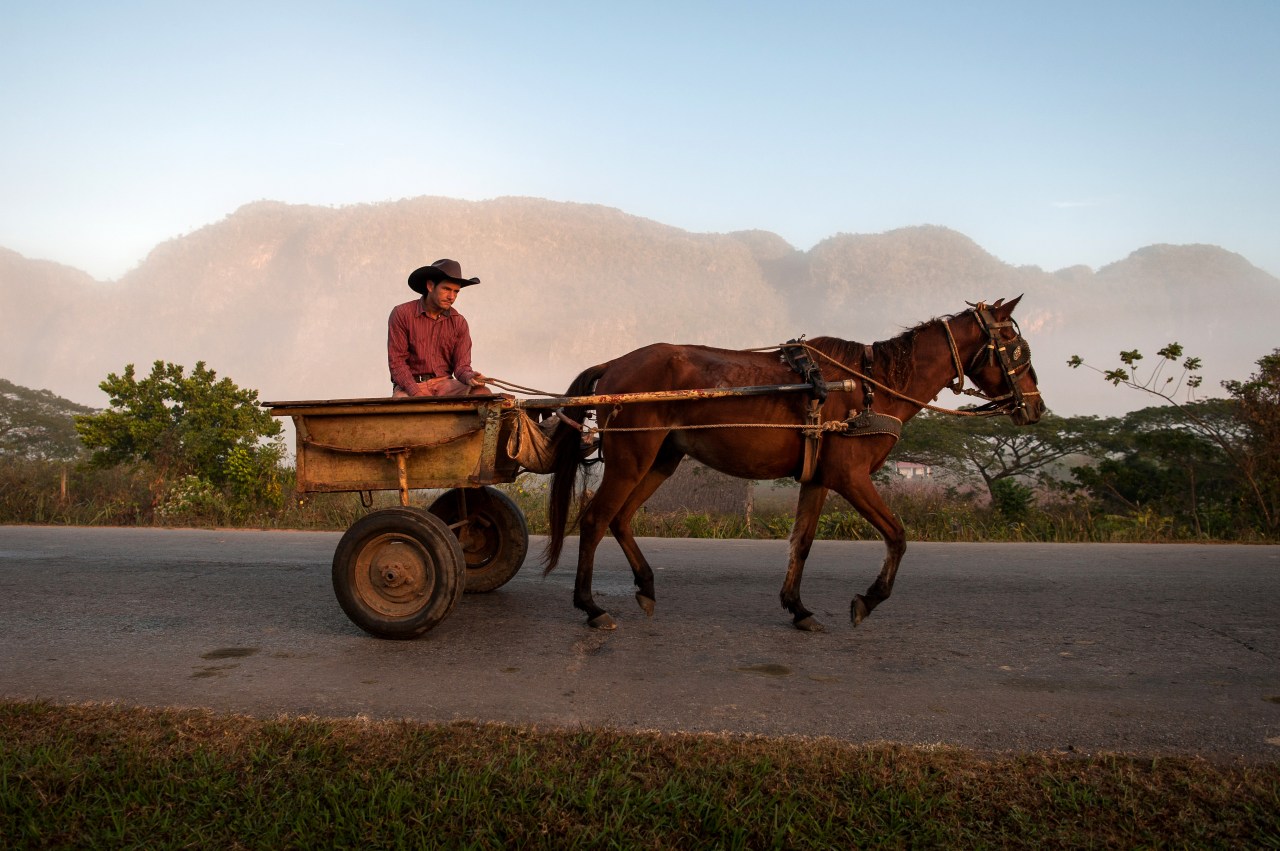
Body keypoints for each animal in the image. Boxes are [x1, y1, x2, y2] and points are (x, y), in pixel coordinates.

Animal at [537, 295, 1039, 627]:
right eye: (1017, 349)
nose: (1035, 408)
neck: (869, 386)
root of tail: (615, 364)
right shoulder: (850, 476)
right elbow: (897, 536)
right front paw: (869, 598)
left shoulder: (819, 478)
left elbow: (803, 542)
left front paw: (797, 607)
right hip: (631, 457)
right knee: (595, 520)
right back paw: (590, 606)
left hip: (662, 457)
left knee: (620, 519)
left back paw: (644, 585)